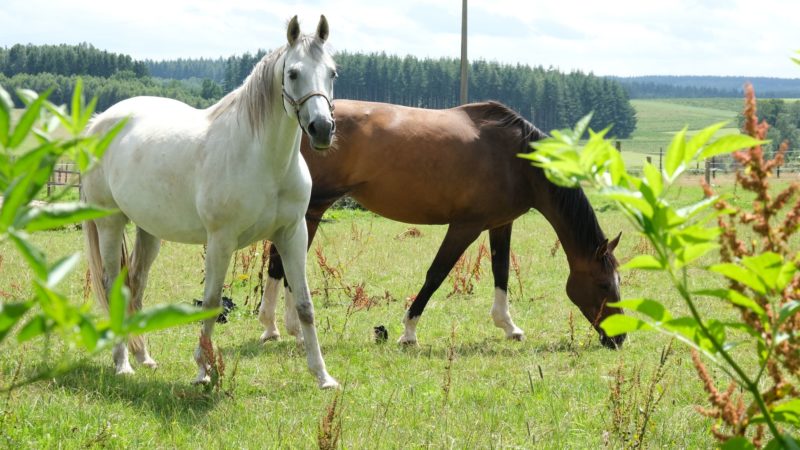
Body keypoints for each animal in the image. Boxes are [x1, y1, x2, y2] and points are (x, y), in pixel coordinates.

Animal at [83, 15, 338, 388]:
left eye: (332, 72)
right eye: (293, 73)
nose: (322, 128)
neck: (262, 159)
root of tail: (96, 124)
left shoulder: (292, 234)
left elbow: (305, 305)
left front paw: (323, 376)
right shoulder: (221, 240)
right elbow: (211, 301)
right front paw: (203, 370)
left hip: (149, 231)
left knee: (137, 283)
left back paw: (144, 357)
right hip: (110, 223)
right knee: (113, 284)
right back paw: (122, 364)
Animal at [258, 100, 624, 348]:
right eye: (604, 285)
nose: (619, 340)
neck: (515, 159)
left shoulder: (500, 225)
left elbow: (501, 273)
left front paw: (508, 326)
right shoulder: (465, 227)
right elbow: (436, 274)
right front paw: (408, 332)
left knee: (278, 263)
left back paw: (273, 328)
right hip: (312, 210)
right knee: (286, 264)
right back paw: (291, 329)